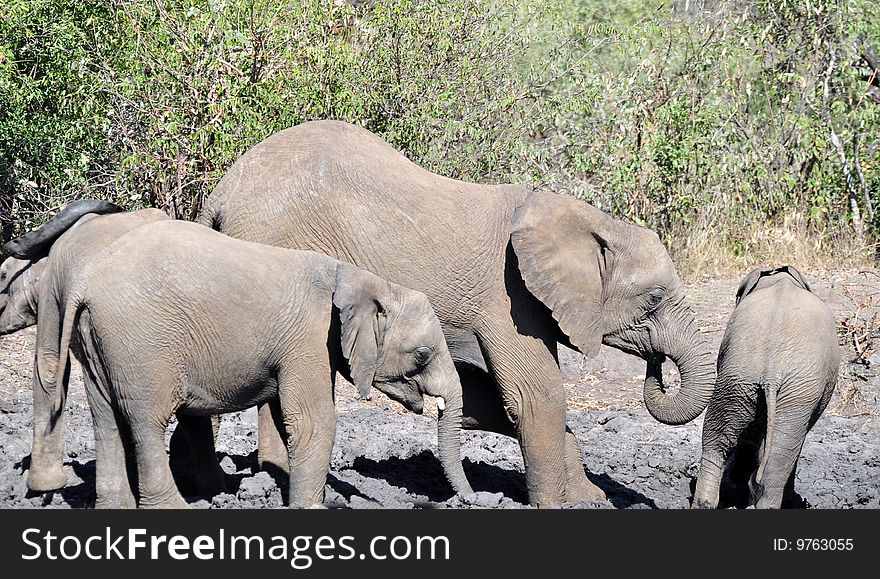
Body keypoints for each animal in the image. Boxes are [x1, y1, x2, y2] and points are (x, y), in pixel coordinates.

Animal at [46, 220, 474, 510]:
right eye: (421, 355)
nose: (471, 499)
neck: (362, 278)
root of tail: (87, 284)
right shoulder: (309, 338)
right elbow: (313, 421)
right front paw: (311, 507)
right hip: (142, 345)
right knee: (146, 422)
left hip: (98, 343)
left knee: (106, 420)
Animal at [199, 119, 716, 508]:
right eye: (653, 300)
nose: (656, 365)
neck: (587, 221)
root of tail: (222, 192)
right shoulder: (508, 298)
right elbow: (534, 396)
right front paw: (559, 505)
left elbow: (489, 399)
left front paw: (590, 499)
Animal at [692, 266, 844, 510]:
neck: (779, 279)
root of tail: (772, 369)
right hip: (787, 392)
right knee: (775, 455)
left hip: (738, 380)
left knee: (719, 441)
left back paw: (707, 503)